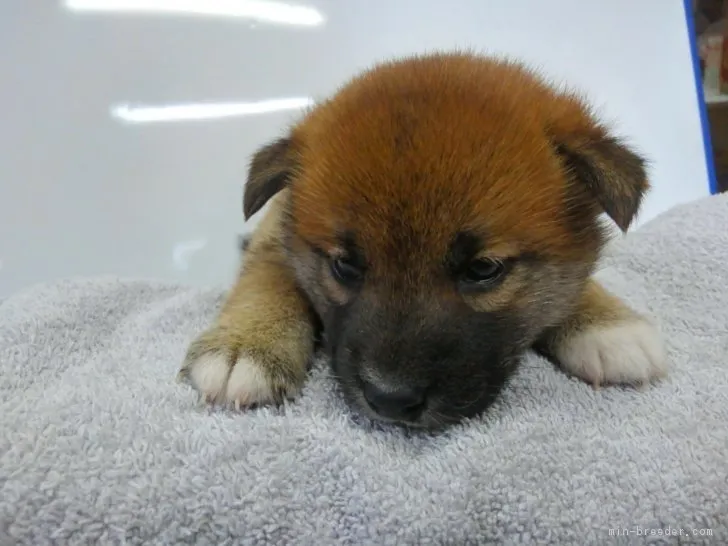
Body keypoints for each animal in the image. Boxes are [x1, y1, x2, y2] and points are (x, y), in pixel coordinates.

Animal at [181, 52, 664, 424]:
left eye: (483, 268)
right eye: (344, 265)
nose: (390, 400)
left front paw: (605, 322)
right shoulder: (275, 229)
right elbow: (269, 273)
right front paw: (247, 345)